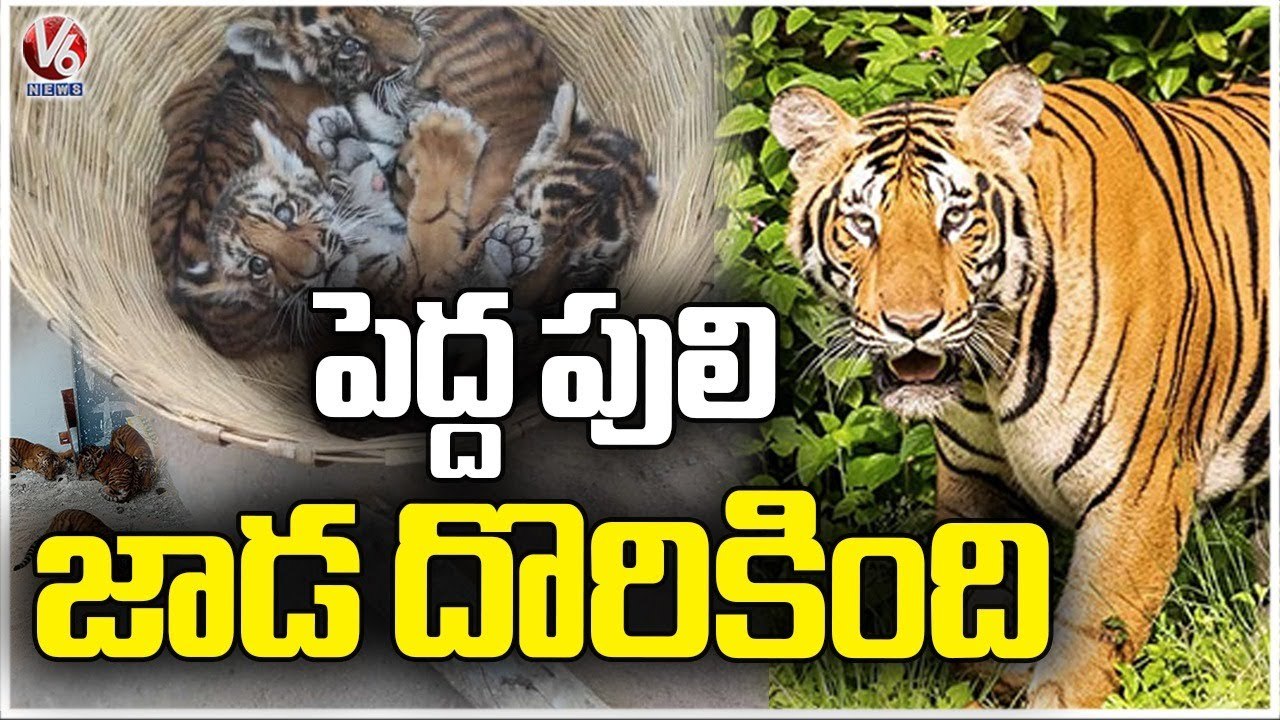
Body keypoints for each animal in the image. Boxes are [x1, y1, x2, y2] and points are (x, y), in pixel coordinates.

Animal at [769, 65, 1269, 707]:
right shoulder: (975, 480)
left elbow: (1085, 648)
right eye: (862, 224)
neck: (996, 367)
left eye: (955, 220)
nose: (911, 325)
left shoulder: (1140, 493)